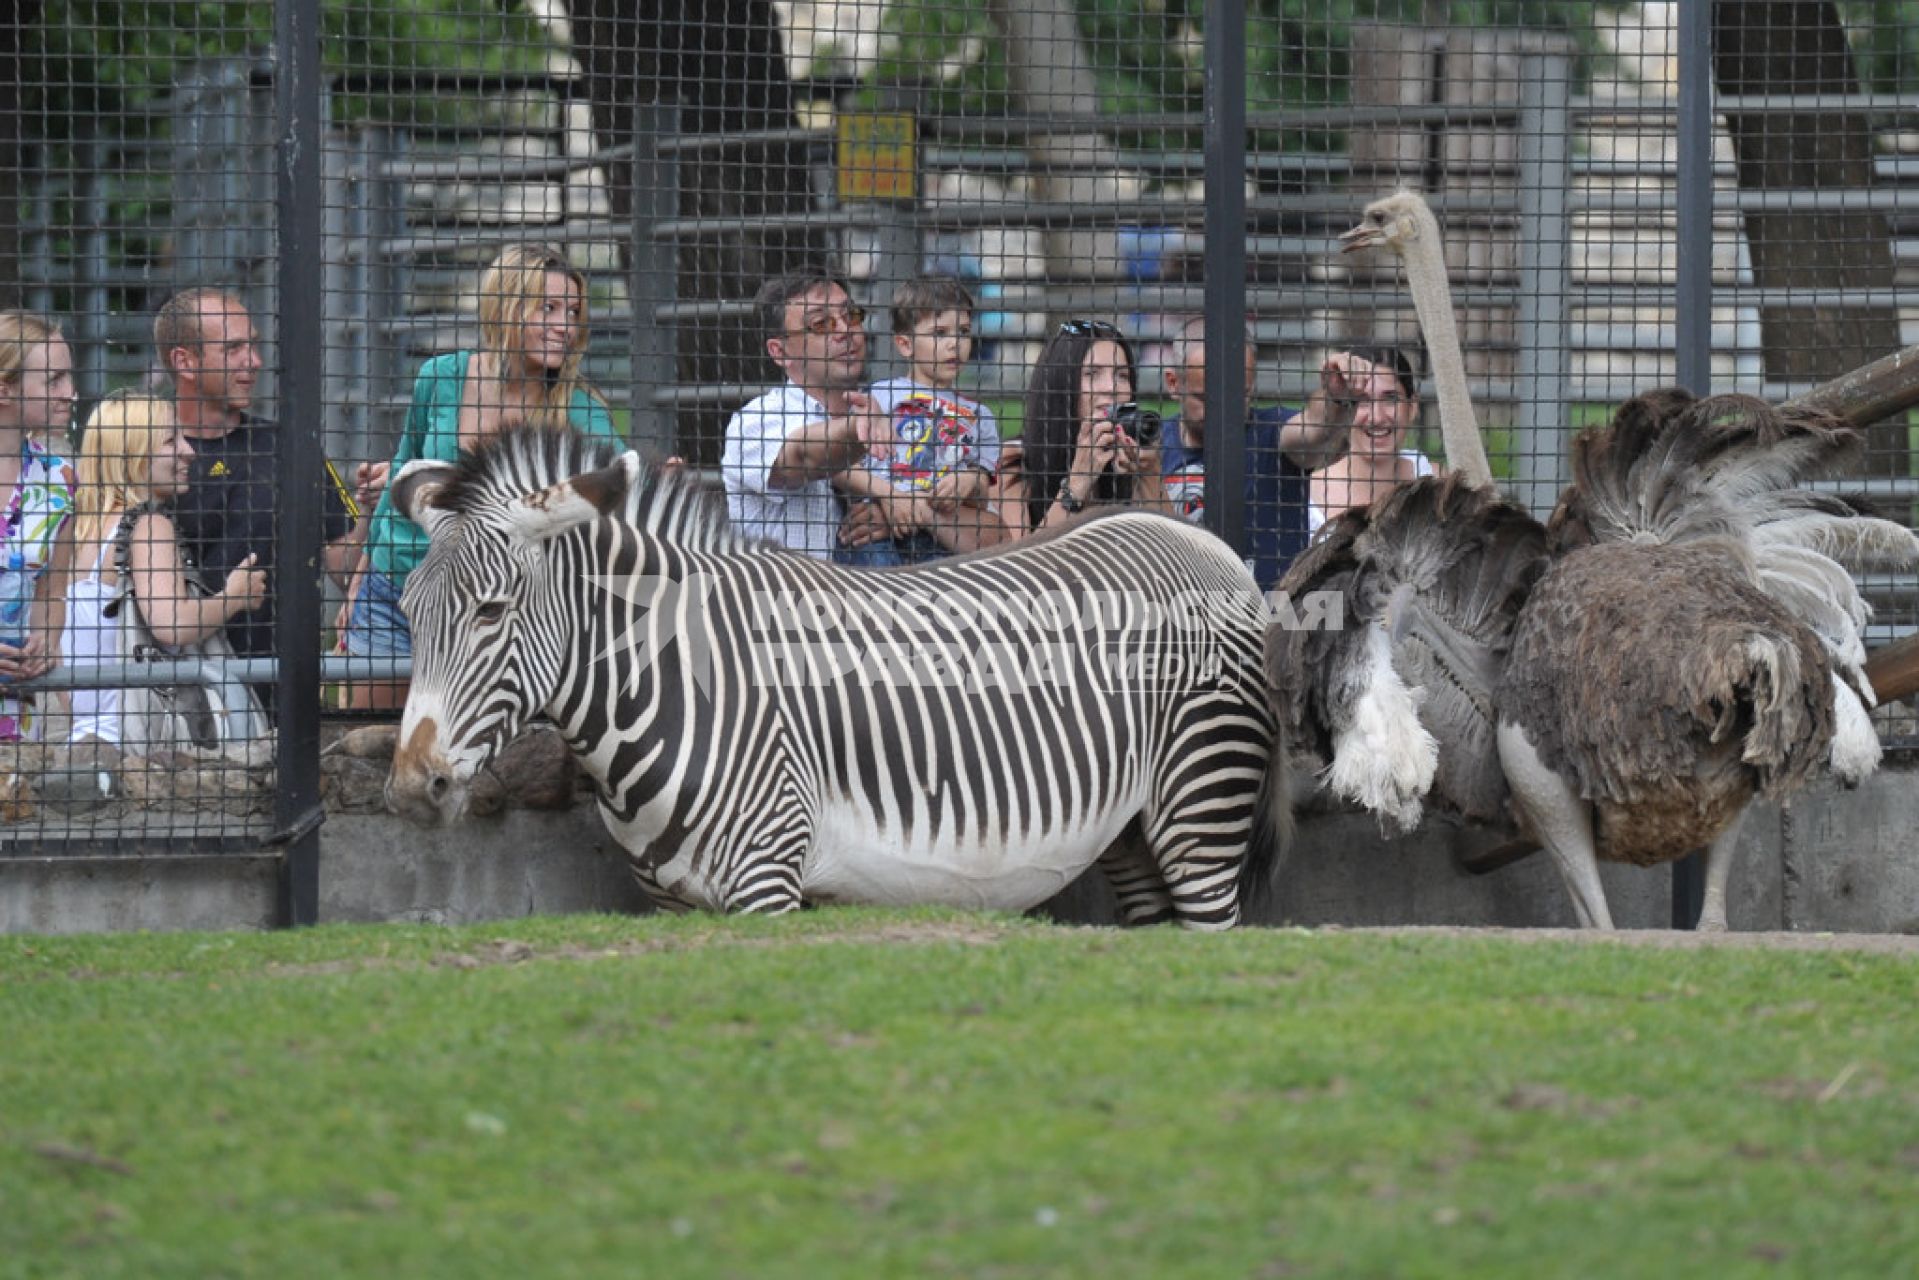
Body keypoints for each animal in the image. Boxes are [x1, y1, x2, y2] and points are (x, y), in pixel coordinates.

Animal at [387, 429, 1289, 932]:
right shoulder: (675, 909)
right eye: (406, 612)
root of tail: (1195, 536)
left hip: (1203, 801)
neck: (677, 680)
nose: (408, 788)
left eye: (491, 612)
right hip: (1131, 832)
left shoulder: (766, 882)